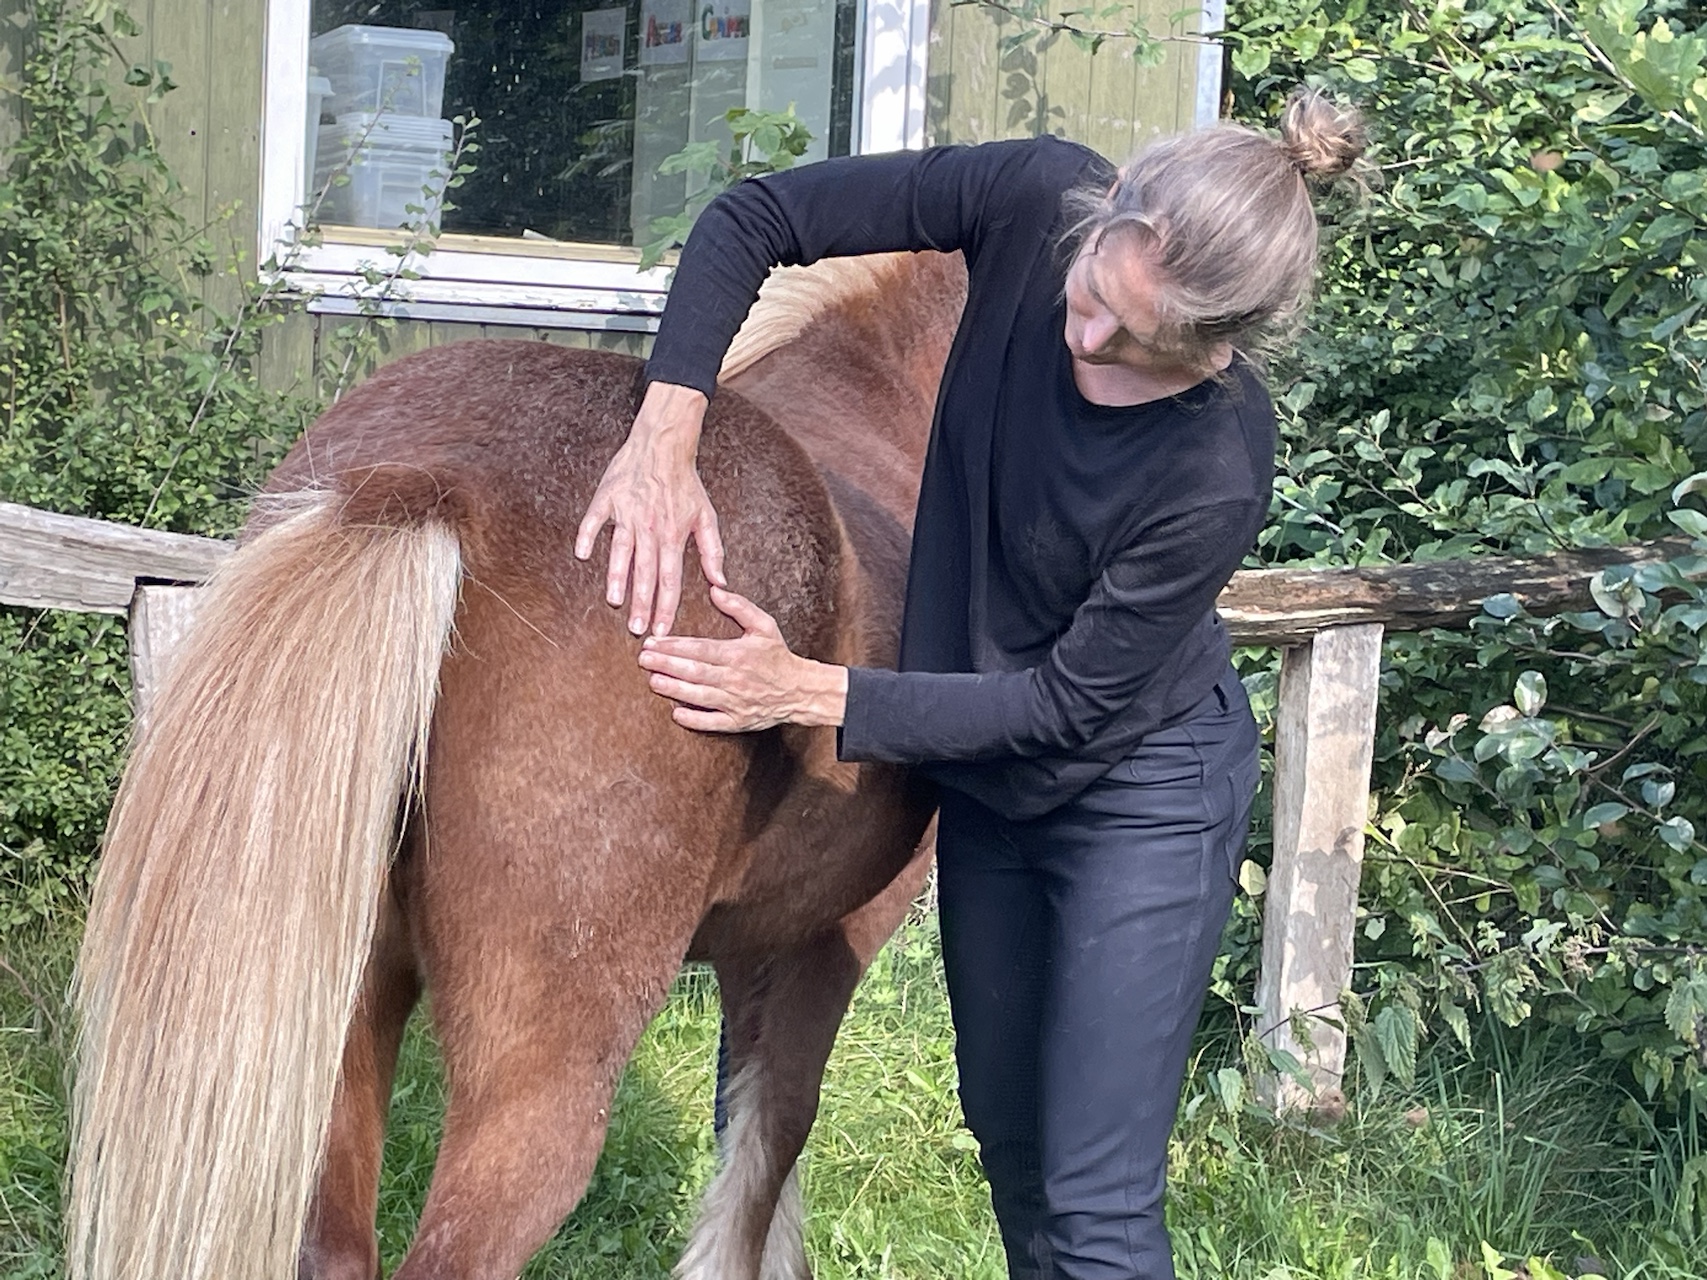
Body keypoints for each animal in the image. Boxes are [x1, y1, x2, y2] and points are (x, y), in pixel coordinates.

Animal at [65, 249, 970, 1280]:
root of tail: (427, 479)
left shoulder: (755, 949)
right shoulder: (830, 939)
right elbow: (766, 1159)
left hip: (332, 1032)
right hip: (539, 1077)